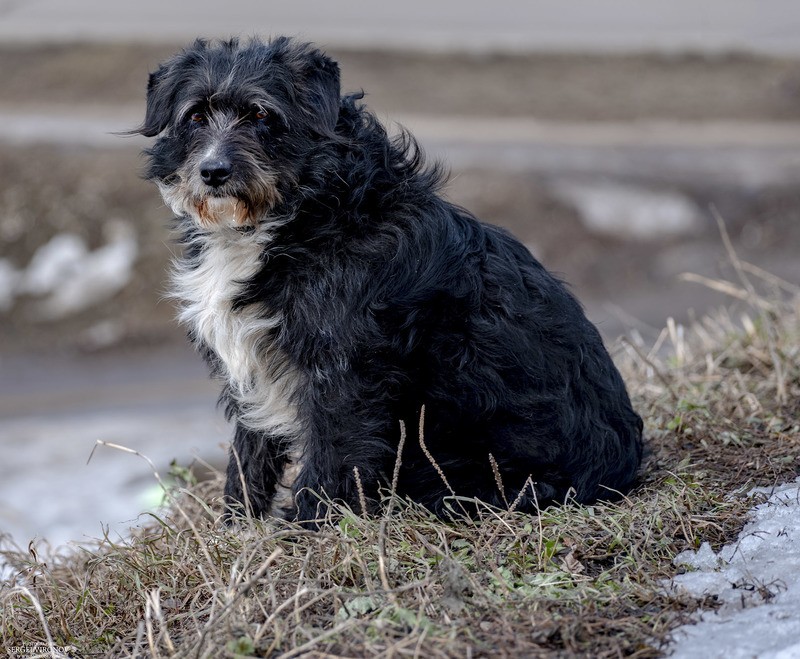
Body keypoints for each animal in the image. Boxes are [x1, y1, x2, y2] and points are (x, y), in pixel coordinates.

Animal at [134, 37, 640, 524]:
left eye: (261, 115)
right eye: (196, 115)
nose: (213, 172)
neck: (310, 212)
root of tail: (620, 472)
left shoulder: (342, 376)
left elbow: (328, 465)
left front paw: (305, 535)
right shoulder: (253, 366)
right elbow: (248, 460)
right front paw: (237, 532)